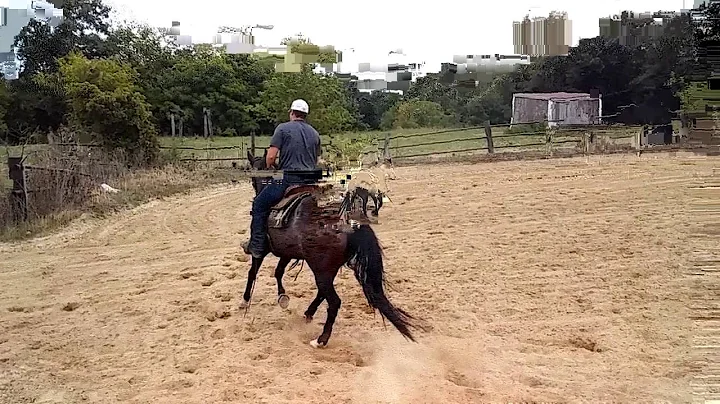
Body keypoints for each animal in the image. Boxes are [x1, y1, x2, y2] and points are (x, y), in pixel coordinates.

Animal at [240, 150, 416, 348]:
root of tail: (346, 221)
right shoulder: (287, 251)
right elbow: (278, 271)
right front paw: (282, 297)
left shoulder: (262, 250)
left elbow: (253, 272)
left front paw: (245, 300)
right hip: (327, 268)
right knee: (322, 293)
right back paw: (308, 314)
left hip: (321, 269)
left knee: (333, 301)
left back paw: (321, 339)